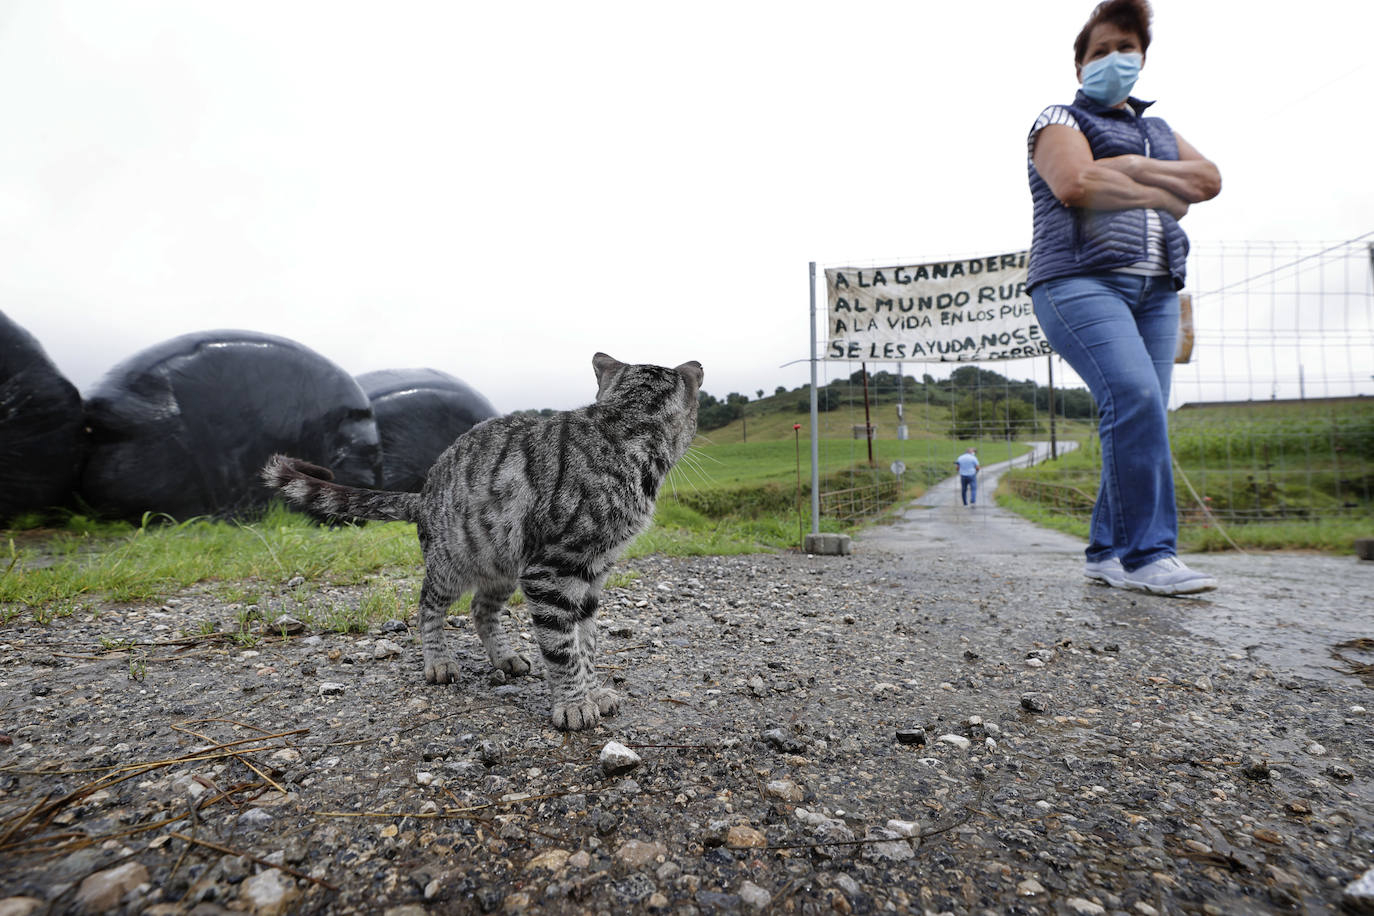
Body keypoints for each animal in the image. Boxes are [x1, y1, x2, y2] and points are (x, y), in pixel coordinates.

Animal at [261, 351, 703, 730]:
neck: (622, 432)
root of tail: (424, 493)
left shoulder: (593, 574)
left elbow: (586, 642)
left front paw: (593, 691)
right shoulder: (550, 572)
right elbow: (562, 648)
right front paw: (575, 703)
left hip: (502, 563)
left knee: (481, 610)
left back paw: (504, 657)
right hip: (451, 566)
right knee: (427, 607)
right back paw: (439, 662)